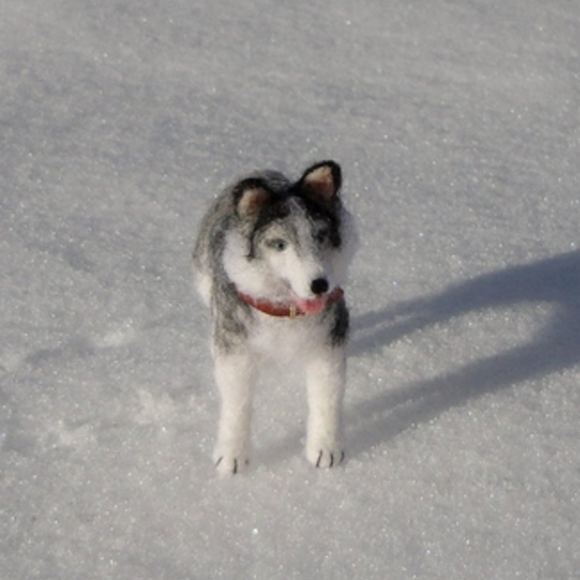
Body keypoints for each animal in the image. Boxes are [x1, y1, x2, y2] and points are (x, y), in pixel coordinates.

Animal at [195, 161, 356, 474]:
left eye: (320, 236)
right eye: (280, 244)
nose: (319, 284)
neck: (286, 313)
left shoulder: (327, 346)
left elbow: (326, 398)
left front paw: (325, 448)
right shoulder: (236, 353)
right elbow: (237, 403)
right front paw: (232, 454)